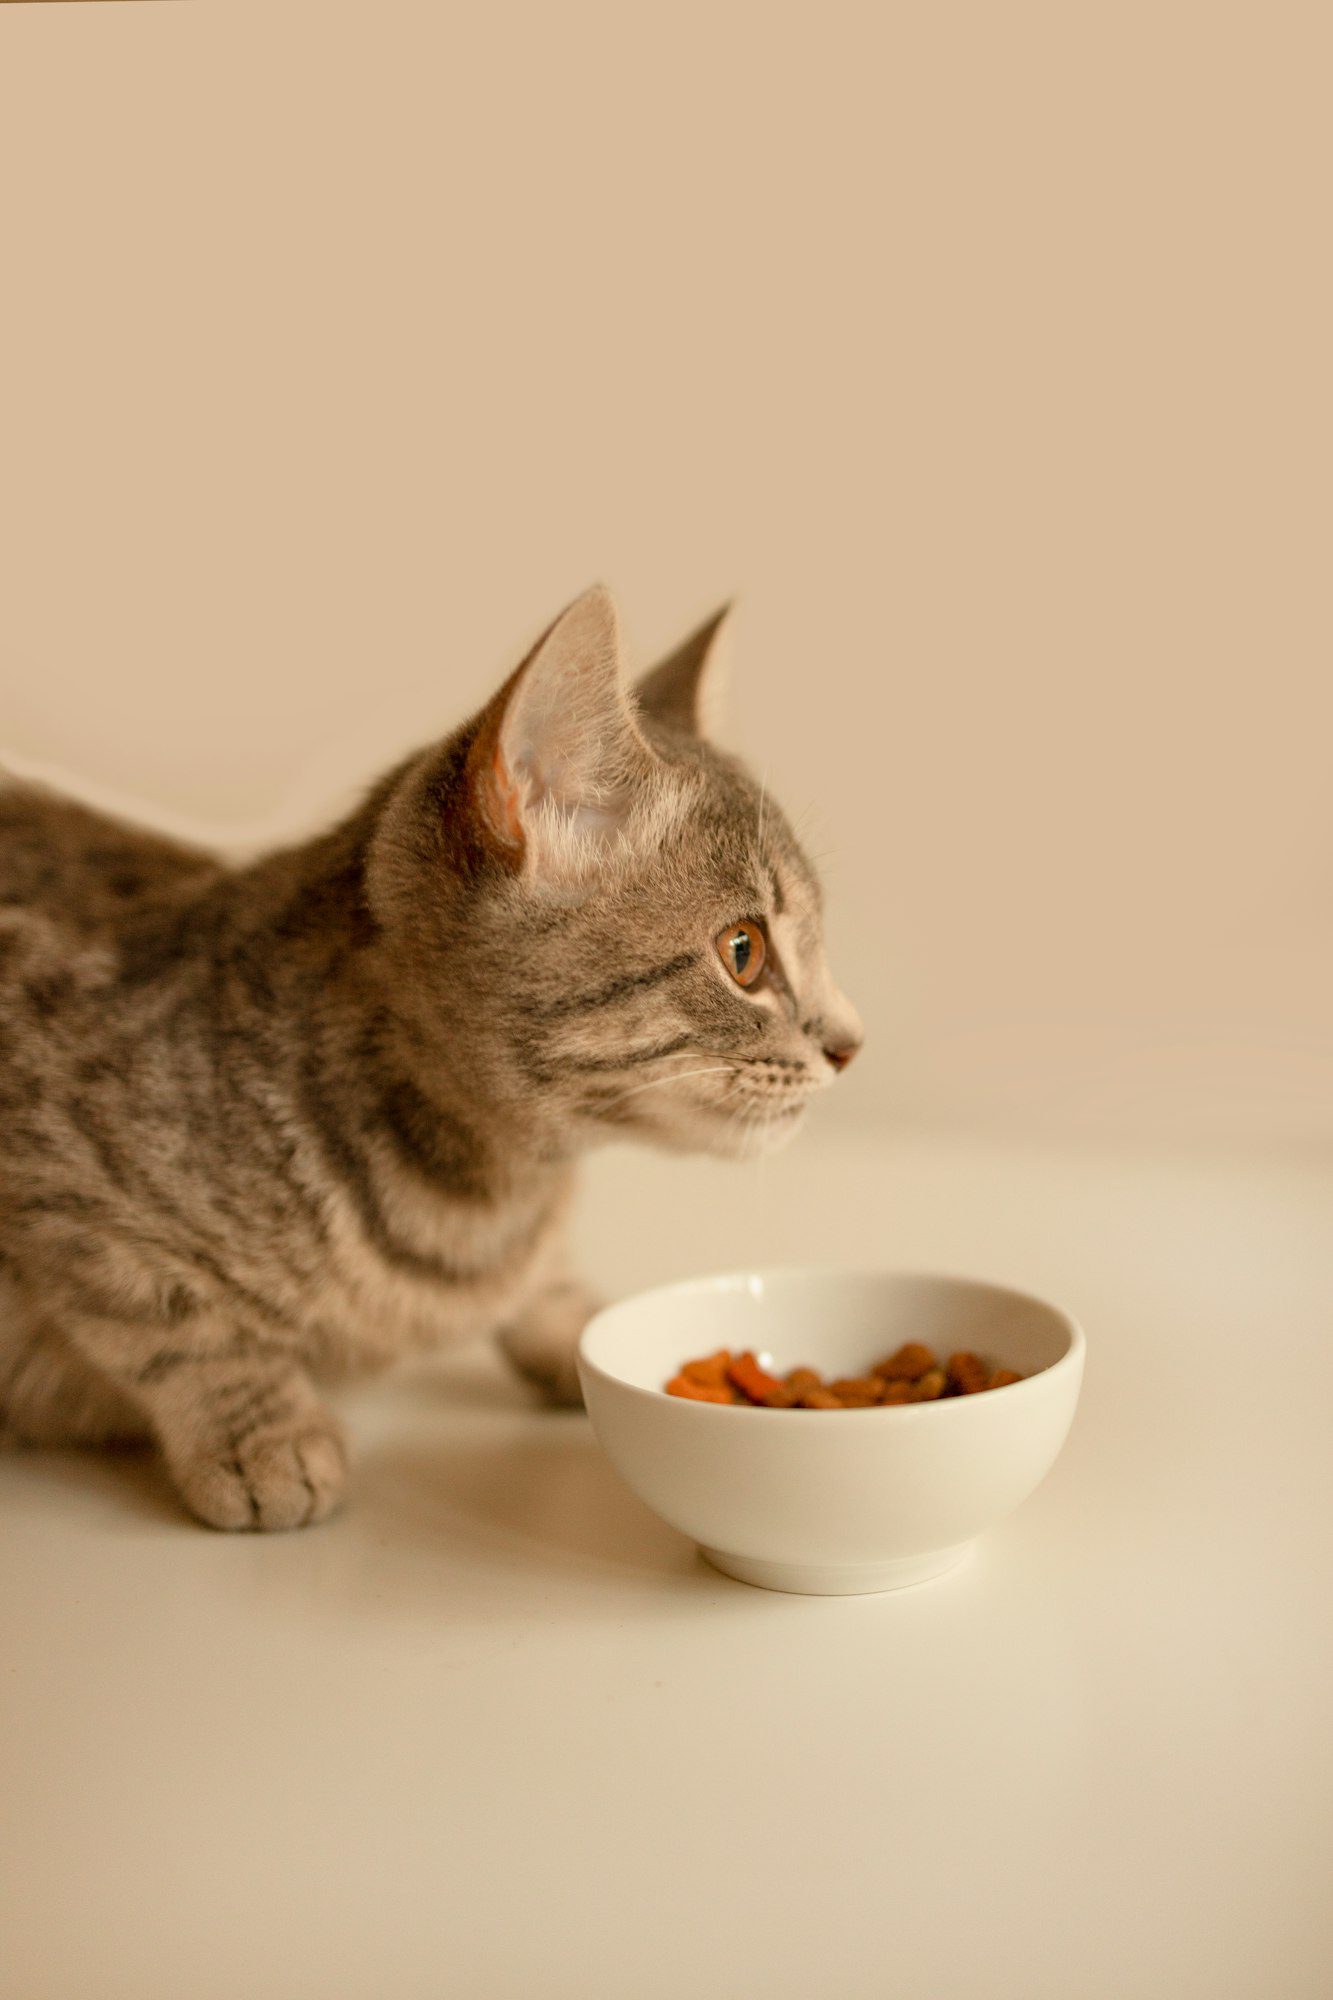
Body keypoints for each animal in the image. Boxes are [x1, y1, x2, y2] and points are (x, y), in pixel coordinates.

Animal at [0, 588, 860, 1528]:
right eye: (743, 952)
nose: (851, 1043)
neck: (486, 1201)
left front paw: (575, 1326)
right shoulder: (58, 1175)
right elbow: (172, 1317)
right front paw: (262, 1431)